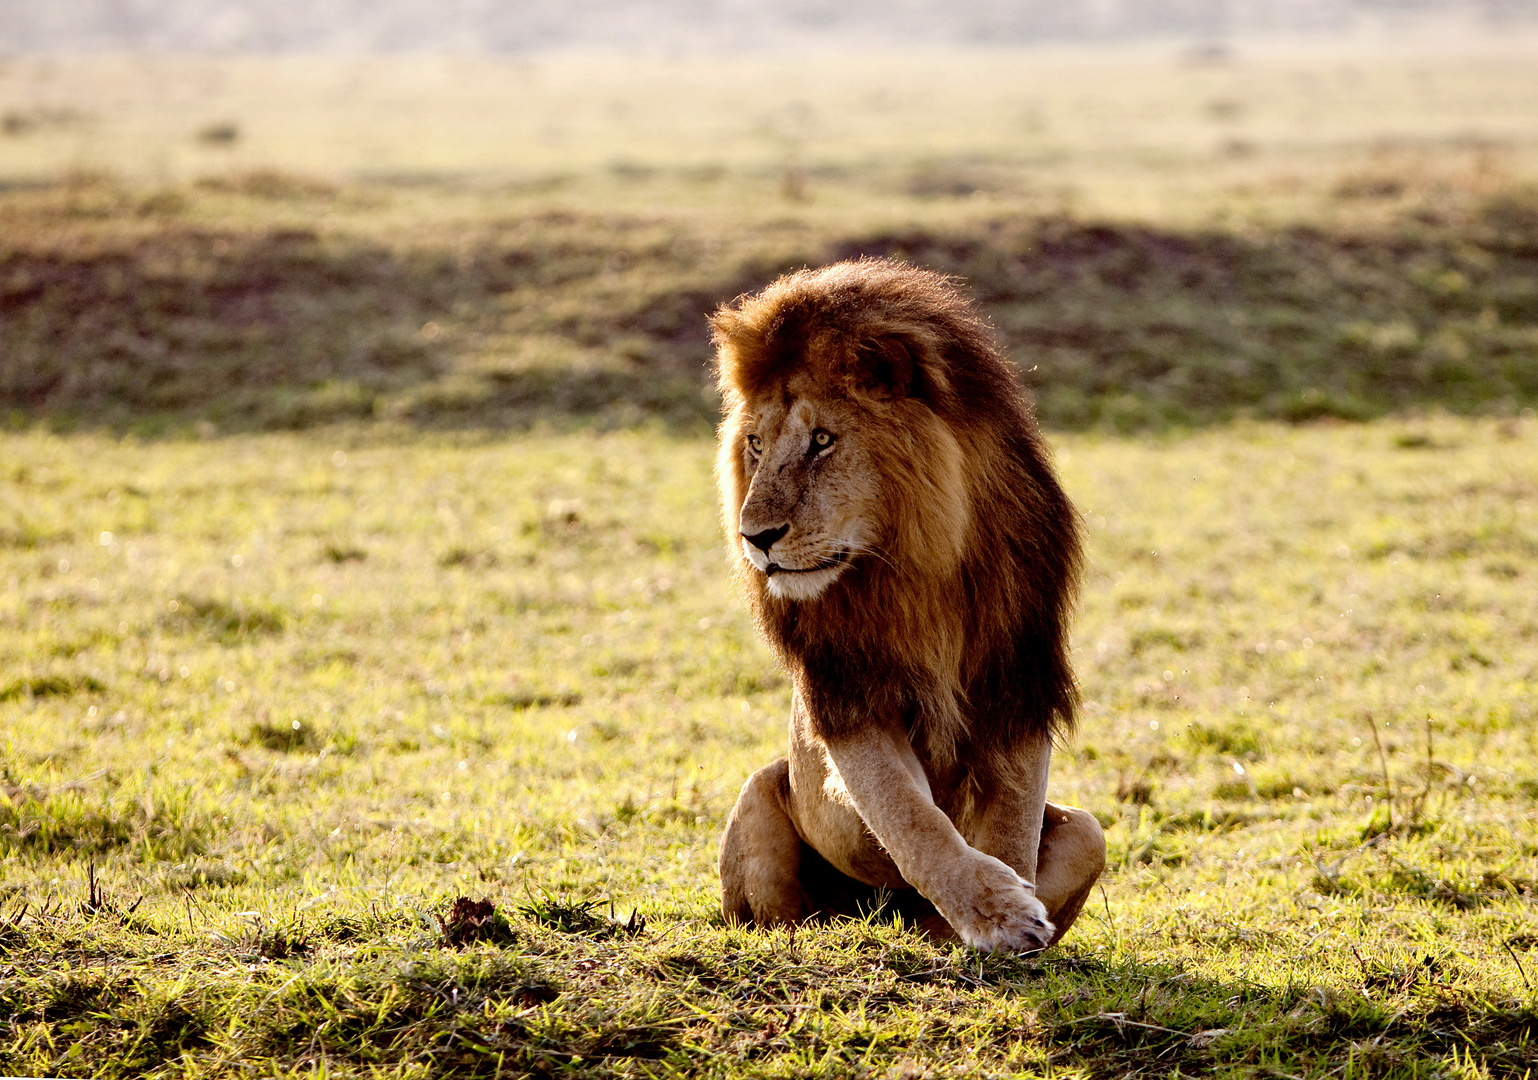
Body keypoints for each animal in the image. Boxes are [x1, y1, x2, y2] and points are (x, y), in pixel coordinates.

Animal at [707, 258, 1107, 953]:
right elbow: (908, 815)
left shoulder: (1019, 682)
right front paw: (997, 911)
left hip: (1089, 833)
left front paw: (1006, 918)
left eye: (822, 439)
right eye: (755, 444)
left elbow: (1010, 825)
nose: (754, 537)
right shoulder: (847, 697)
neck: (919, 565)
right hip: (761, 792)